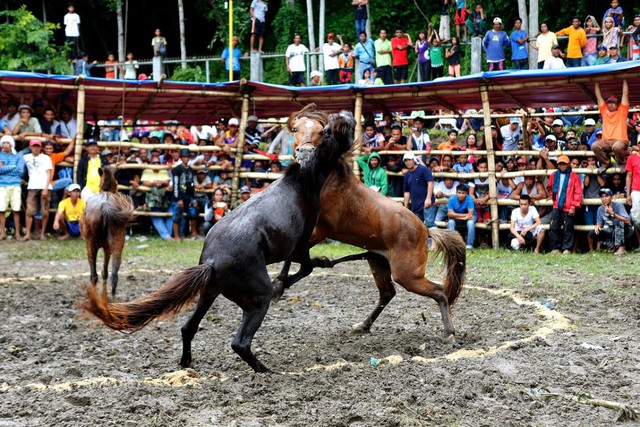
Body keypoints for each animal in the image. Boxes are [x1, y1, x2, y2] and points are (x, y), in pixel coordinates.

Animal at [82, 166, 134, 300]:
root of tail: (105, 205)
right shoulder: (107, 248)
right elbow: (105, 272)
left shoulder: (103, 247)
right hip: (117, 243)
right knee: (114, 275)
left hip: (91, 245)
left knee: (94, 275)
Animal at [272, 114, 468, 342]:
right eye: (295, 129)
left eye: (322, 131)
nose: (304, 153)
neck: (325, 181)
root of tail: (425, 229)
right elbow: (296, 257)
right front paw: (289, 278)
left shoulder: (319, 230)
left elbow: (295, 255)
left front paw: (280, 284)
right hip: (379, 262)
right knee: (387, 293)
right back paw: (363, 325)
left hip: (408, 275)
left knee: (439, 291)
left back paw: (449, 333)